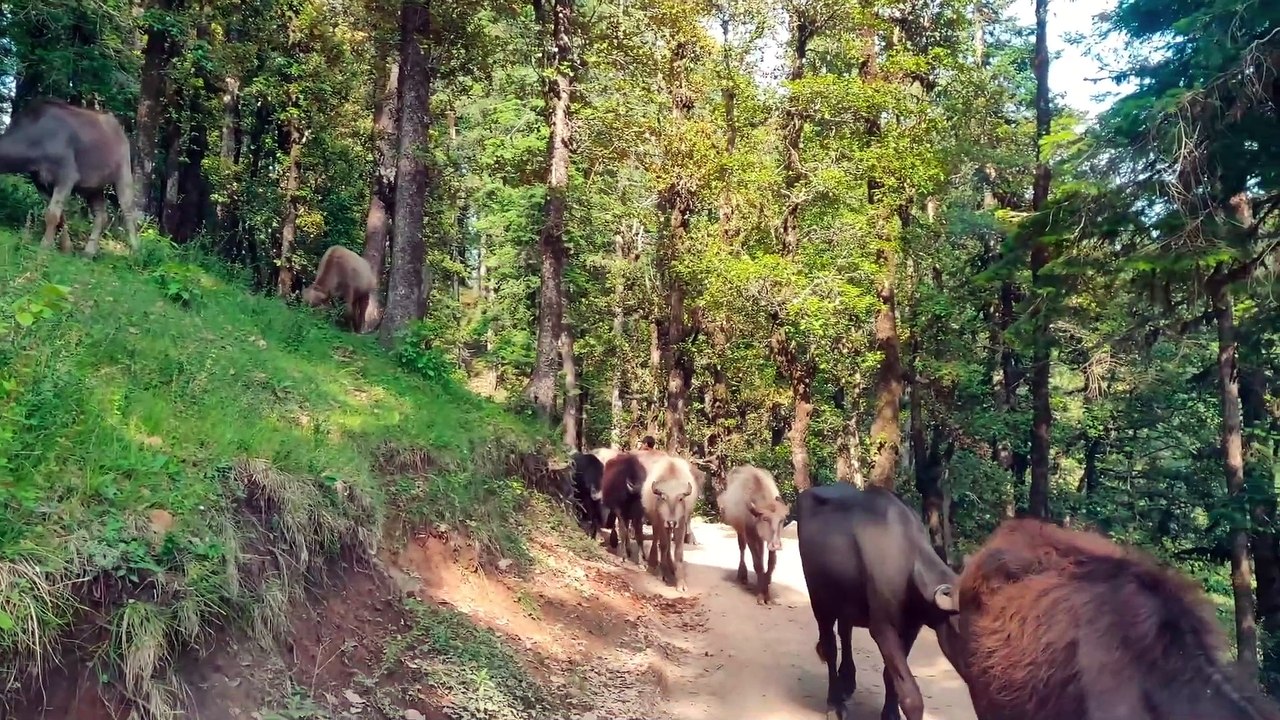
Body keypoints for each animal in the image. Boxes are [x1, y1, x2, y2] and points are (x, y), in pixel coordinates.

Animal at [721, 461, 788, 602]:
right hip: (740, 531)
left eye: (782, 520)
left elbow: (770, 564)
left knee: (761, 553)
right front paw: (761, 595)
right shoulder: (750, 535)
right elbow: (757, 563)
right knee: (742, 548)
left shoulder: (769, 541)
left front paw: (767, 589)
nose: (777, 545)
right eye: (765, 518)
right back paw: (742, 574)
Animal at [798, 481, 962, 717]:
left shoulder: (911, 628)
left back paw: (847, 681)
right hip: (819, 599)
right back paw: (835, 703)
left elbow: (890, 675)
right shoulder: (883, 627)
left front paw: (890, 712)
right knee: (829, 646)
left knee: (845, 632)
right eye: (962, 628)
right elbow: (910, 693)